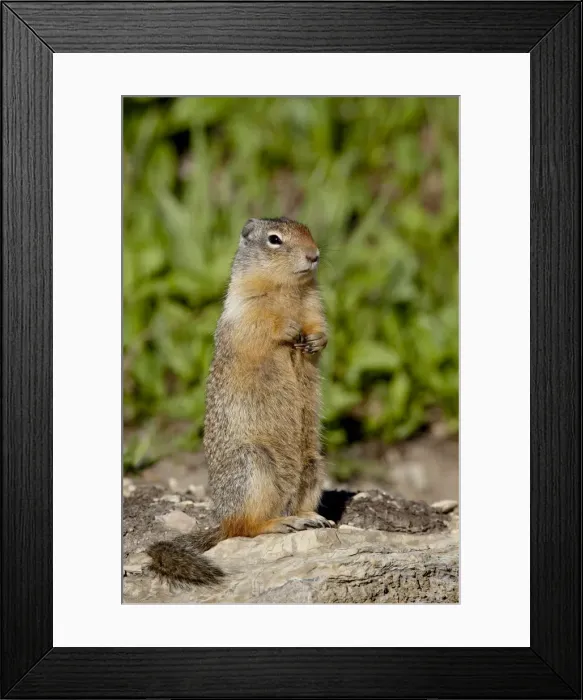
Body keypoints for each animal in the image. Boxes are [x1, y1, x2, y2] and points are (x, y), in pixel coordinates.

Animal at [146, 217, 333, 586]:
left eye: (307, 230)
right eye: (274, 240)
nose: (314, 254)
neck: (289, 290)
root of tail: (222, 520)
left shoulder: (313, 305)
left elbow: (319, 328)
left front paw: (317, 340)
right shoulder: (245, 308)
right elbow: (261, 328)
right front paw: (287, 328)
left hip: (313, 465)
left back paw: (310, 517)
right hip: (253, 466)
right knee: (246, 527)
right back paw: (281, 522)